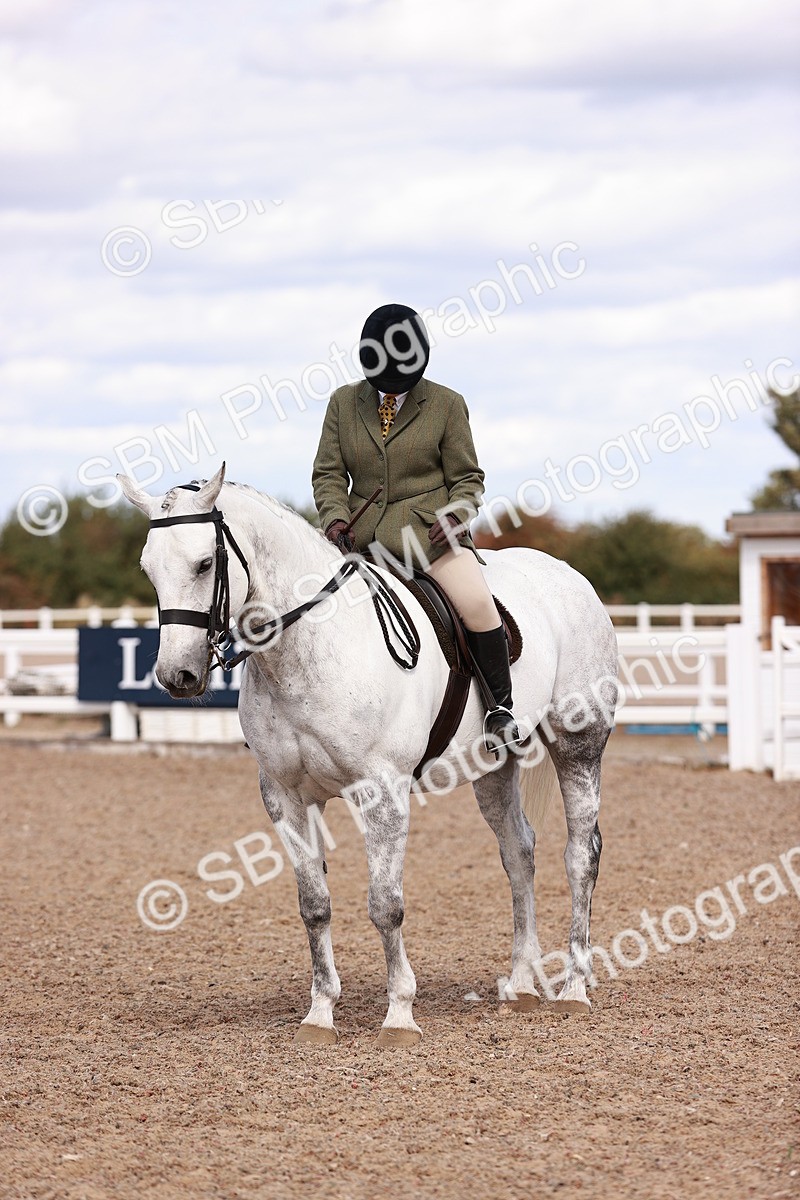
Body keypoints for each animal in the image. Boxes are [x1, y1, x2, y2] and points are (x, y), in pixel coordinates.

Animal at [120, 463, 619, 1046]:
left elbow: (386, 905)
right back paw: (520, 985)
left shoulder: (383, 792)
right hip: (493, 765)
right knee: (520, 854)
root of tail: (567, 574)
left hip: (579, 744)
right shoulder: (285, 797)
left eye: (204, 563)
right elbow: (314, 906)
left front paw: (399, 1015)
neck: (309, 649)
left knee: (580, 855)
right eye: (149, 569)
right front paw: (320, 1013)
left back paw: (575, 988)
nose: (177, 676)